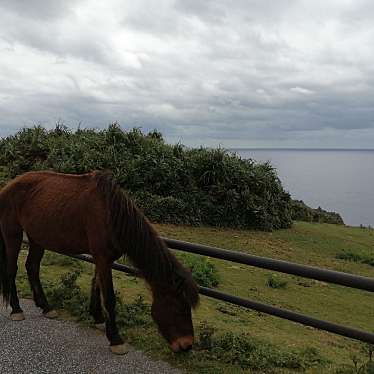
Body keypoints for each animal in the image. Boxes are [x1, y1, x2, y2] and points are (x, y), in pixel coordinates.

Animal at [0, 171, 199, 356]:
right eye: (179, 306)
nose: (187, 345)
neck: (111, 215)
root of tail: (8, 187)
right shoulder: (103, 259)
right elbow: (109, 297)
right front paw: (116, 339)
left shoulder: (102, 259)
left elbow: (96, 286)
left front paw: (97, 318)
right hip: (13, 234)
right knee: (11, 270)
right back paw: (16, 309)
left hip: (37, 238)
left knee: (32, 267)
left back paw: (46, 307)